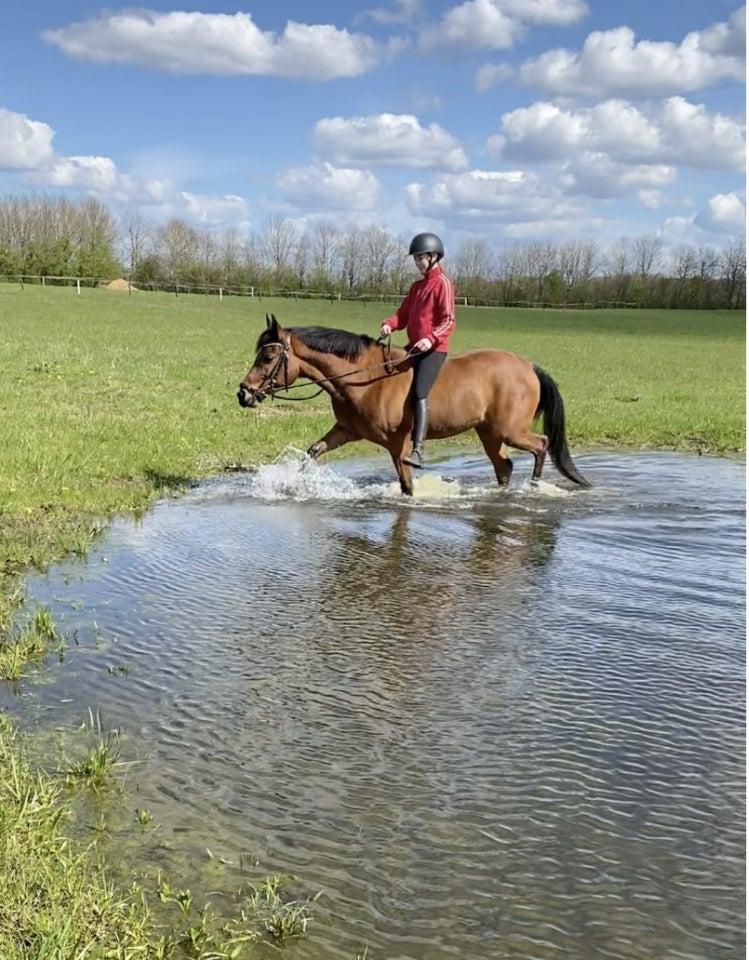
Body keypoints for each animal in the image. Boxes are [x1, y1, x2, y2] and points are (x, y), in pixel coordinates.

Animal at [237, 314, 588, 496]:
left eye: (268, 357)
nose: (243, 393)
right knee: (504, 466)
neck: (367, 379)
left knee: (541, 444)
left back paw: (534, 488)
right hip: (489, 433)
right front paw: (290, 484)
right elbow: (312, 452)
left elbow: (407, 487)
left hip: (510, 429)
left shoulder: (399, 445)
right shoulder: (347, 431)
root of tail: (528, 366)